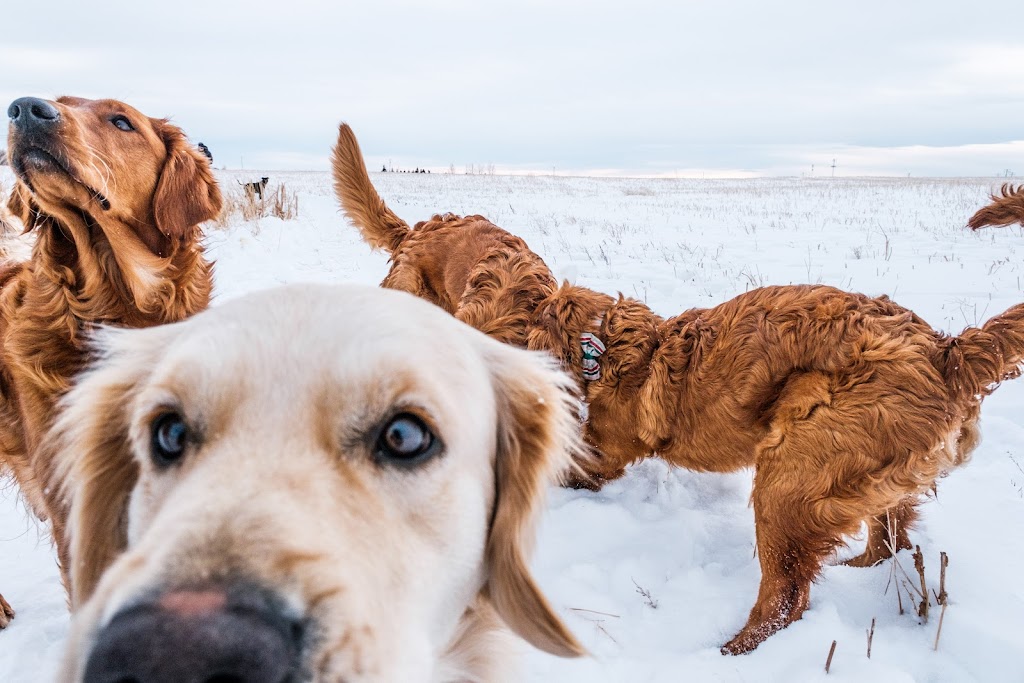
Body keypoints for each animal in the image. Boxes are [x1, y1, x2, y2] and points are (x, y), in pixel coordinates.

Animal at [333, 121, 1024, 651]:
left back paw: (731, 652)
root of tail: (949, 350)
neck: (592, 348)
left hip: (791, 475)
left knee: (785, 597)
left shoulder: (597, 459)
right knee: (887, 539)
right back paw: (858, 572)